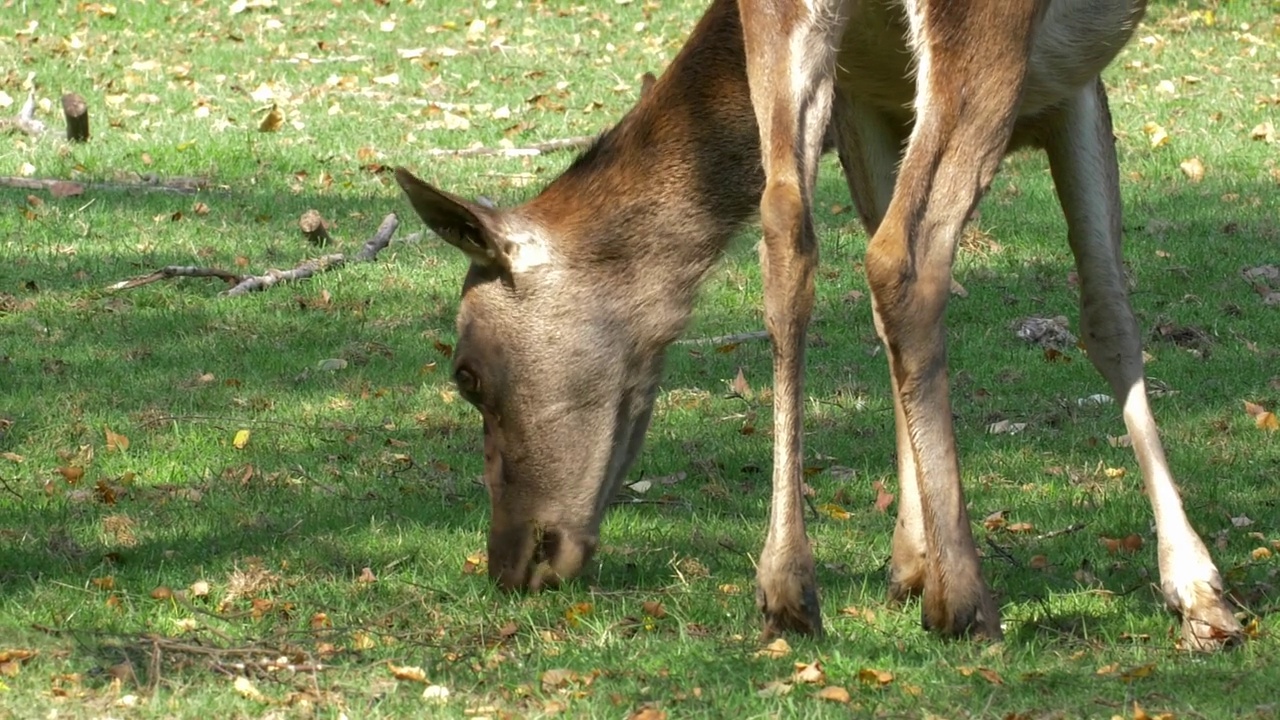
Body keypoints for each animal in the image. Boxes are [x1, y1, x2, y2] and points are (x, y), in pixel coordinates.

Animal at [394, 0, 1244, 648]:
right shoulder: (1069, 83)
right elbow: (1108, 310)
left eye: (466, 373)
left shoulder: (873, 94)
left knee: (790, 236)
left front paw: (908, 560)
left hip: (783, 23)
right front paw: (1197, 586)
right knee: (906, 257)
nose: (506, 565)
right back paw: (964, 600)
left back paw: (788, 587)